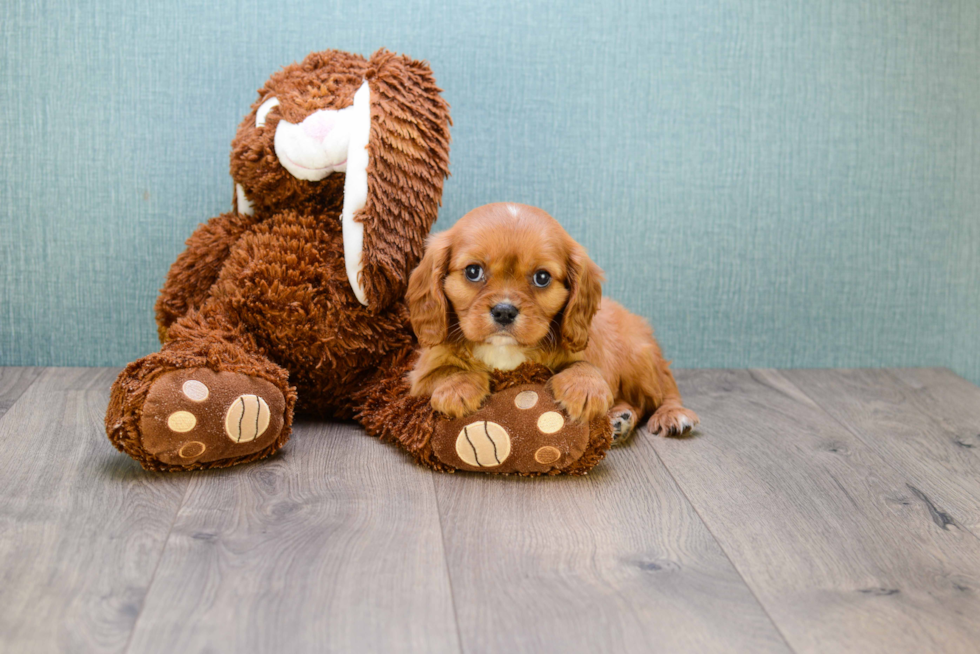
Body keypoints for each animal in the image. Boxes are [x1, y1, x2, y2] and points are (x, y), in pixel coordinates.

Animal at [404, 202, 696, 444]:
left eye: (542, 277)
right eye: (473, 271)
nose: (504, 311)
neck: (504, 350)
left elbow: (585, 365)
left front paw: (584, 388)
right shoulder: (421, 374)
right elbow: (446, 371)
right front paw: (458, 388)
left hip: (639, 358)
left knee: (664, 389)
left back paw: (672, 414)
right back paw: (619, 420)